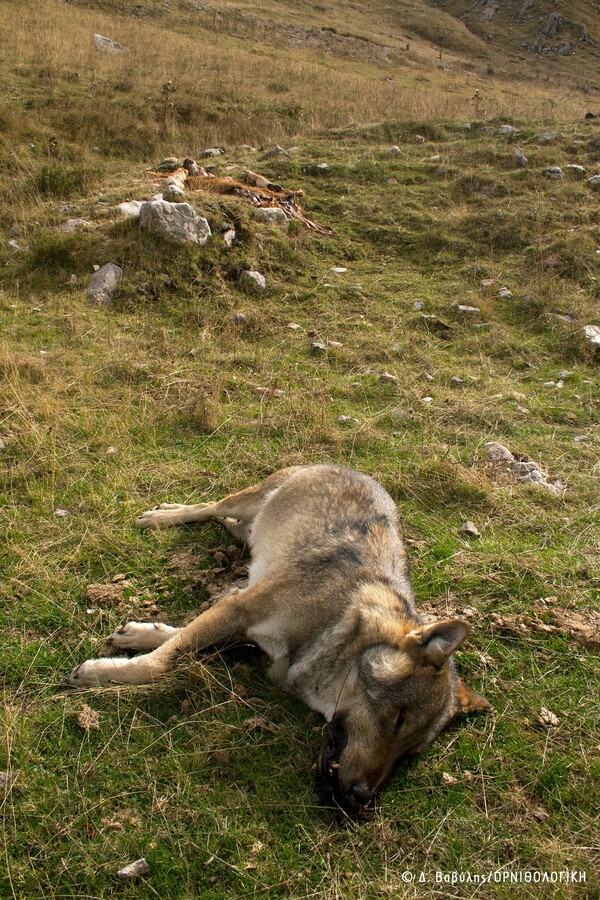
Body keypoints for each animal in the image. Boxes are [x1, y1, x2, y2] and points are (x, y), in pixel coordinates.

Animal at [68, 464, 490, 808]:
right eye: (399, 719)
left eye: (410, 753)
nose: (361, 799)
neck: (336, 625)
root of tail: (354, 469)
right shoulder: (240, 608)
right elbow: (163, 660)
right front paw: (101, 672)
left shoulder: (246, 633)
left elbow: (179, 640)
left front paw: (137, 634)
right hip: (249, 500)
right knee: (209, 505)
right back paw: (161, 516)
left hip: (249, 529)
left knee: (226, 522)